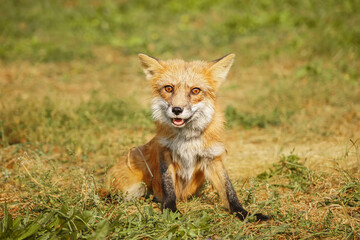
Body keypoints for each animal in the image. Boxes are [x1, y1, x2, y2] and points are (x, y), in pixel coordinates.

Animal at [102, 53, 268, 220]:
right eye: (169, 88)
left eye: (195, 90)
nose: (177, 110)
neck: (187, 139)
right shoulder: (165, 152)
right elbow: (168, 188)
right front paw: (170, 211)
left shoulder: (212, 158)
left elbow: (229, 192)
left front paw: (245, 214)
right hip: (131, 188)